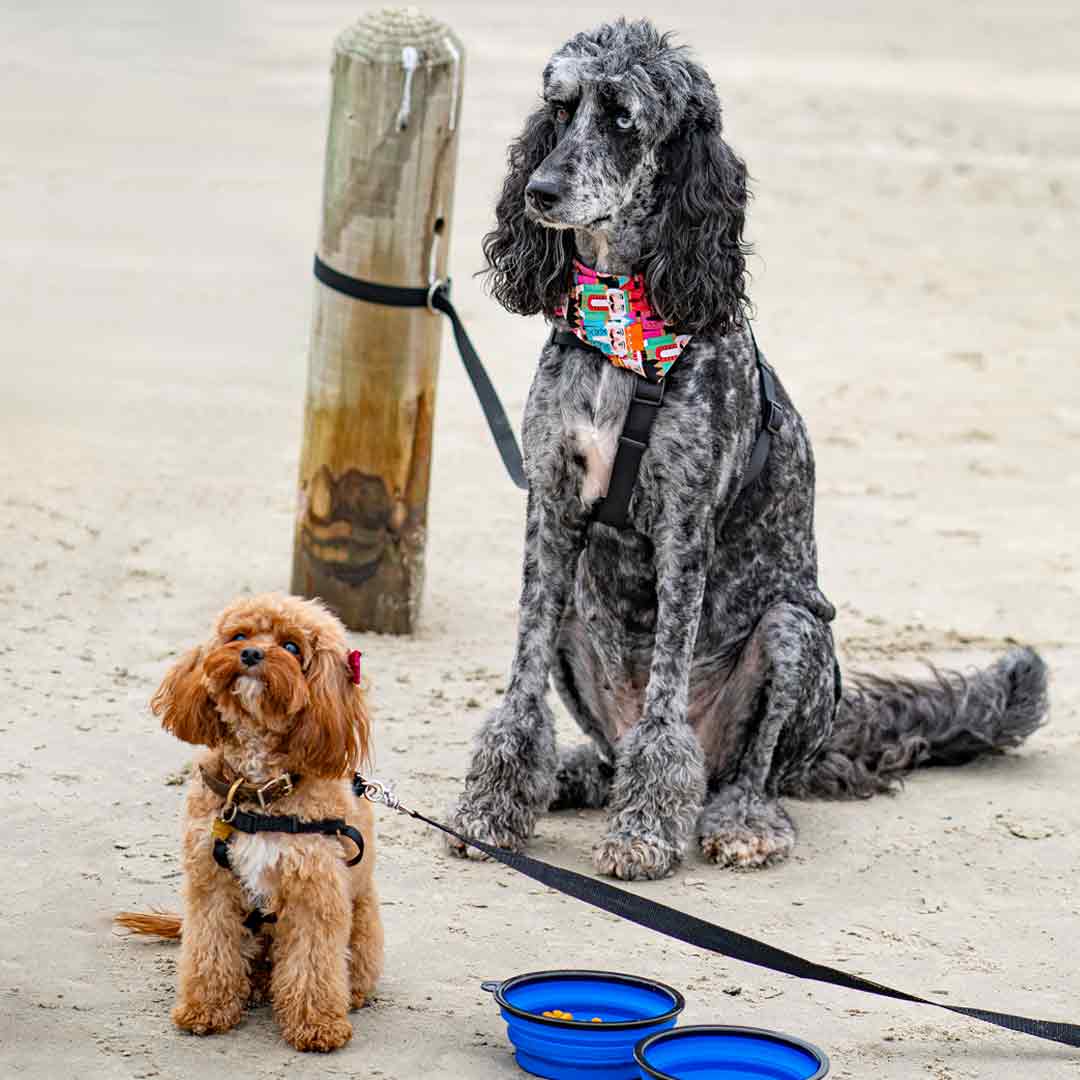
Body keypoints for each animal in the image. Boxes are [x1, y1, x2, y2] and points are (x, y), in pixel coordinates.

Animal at [117, 596, 384, 1049]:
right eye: (238, 635)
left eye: (292, 647)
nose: (251, 654)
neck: (259, 790)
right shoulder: (211, 887)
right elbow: (210, 952)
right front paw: (206, 1009)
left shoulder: (314, 892)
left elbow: (311, 963)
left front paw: (317, 1024)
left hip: (362, 920)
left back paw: (348, 994)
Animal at [442, 19, 1049, 876]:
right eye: (559, 108)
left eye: (623, 118)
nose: (540, 192)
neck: (622, 321)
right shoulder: (552, 510)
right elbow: (519, 690)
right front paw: (492, 810)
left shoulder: (684, 526)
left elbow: (665, 710)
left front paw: (644, 834)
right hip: (575, 626)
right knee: (615, 752)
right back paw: (573, 776)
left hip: (794, 631)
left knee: (744, 767)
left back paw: (739, 820)